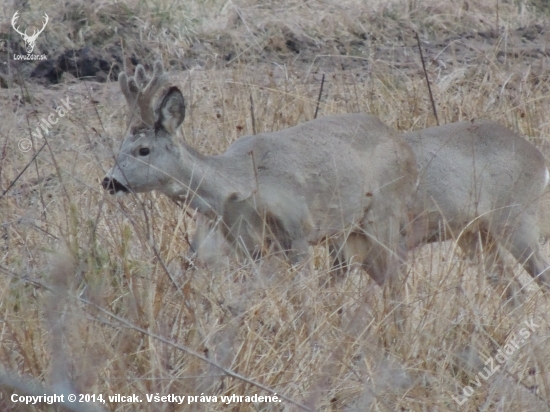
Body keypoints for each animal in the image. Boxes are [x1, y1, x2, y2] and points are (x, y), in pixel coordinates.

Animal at [101, 61, 418, 286]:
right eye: (119, 147)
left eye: (143, 149)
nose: (109, 181)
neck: (236, 181)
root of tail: (402, 144)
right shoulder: (246, 245)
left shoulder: (298, 228)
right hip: (343, 231)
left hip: (384, 211)